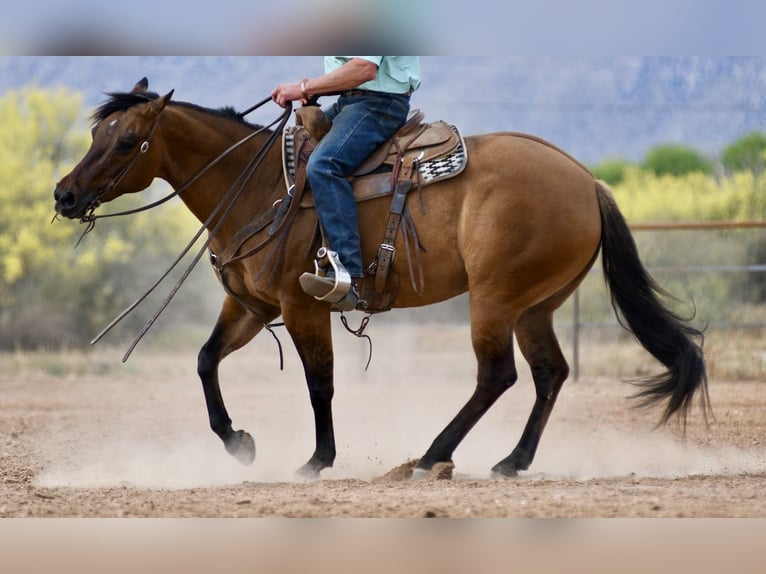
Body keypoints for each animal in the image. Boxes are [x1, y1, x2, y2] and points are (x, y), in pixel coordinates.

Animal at [53, 78, 709, 478]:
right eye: (95, 135)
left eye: (128, 142)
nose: (65, 195)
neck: (258, 185)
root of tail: (586, 179)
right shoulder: (251, 307)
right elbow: (205, 360)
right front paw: (239, 443)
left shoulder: (301, 305)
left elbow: (319, 383)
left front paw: (317, 459)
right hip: (535, 306)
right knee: (550, 373)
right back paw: (511, 461)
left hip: (495, 299)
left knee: (497, 375)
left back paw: (431, 456)